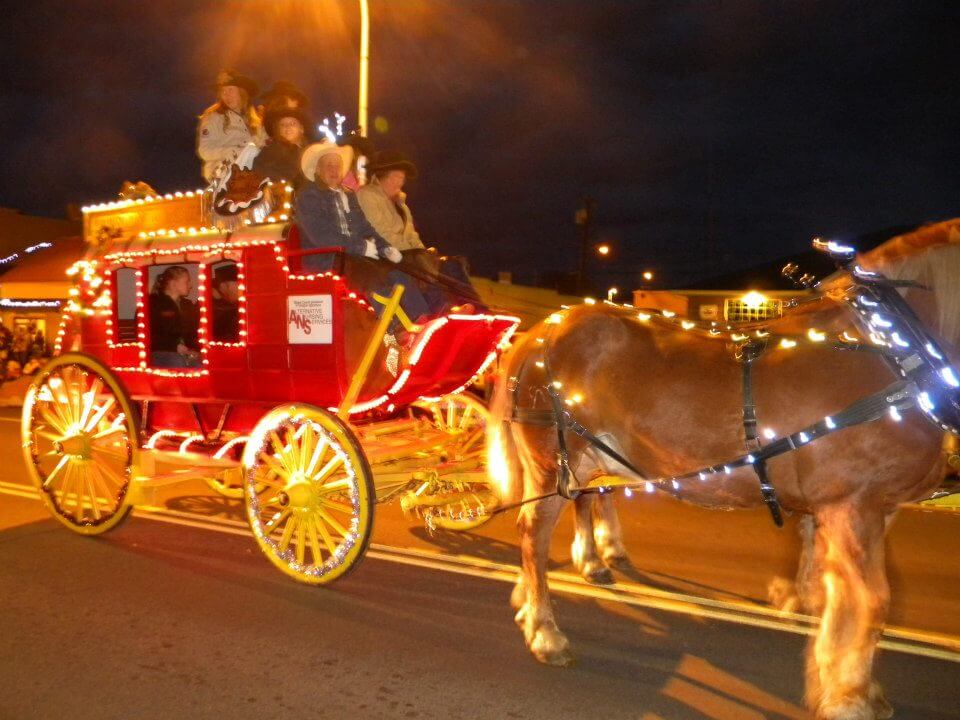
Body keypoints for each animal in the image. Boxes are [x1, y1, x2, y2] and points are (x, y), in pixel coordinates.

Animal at [488, 221, 960, 720]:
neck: (891, 347)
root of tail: (543, 329)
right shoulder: (853, 506)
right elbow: (870, 601)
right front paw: (847, 696)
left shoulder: (870, 510)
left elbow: (838, 595)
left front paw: (843, 681)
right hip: (556, 462)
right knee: (534, 535)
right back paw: (545, 630)